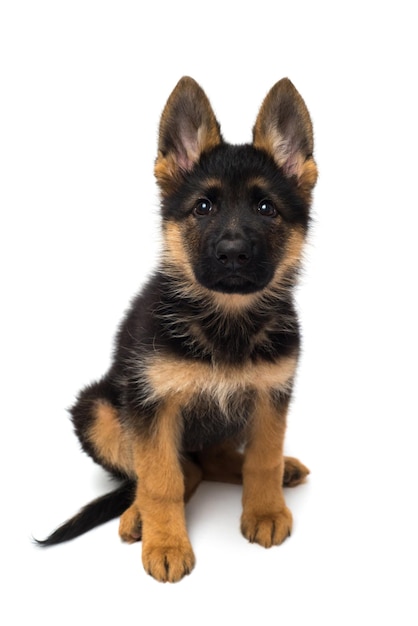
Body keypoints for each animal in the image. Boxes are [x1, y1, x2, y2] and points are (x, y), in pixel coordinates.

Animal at [37, 77, 318, 580]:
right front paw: (166, 543)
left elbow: (262, 461)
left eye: (266, 207)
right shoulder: (152, 406)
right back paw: (137, 516)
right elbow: (161, 479)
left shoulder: (270, 397)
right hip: (97, 409)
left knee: (216, 461)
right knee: (181, 471)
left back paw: (281, 471)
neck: (226, 318)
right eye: (202, 207)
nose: (232, 253)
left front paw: (265, 510)